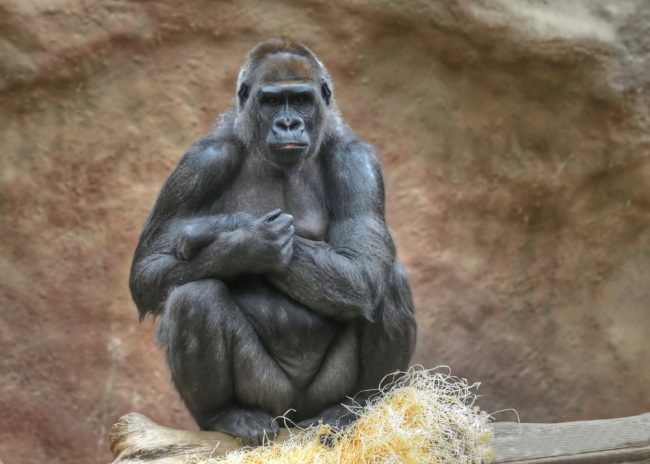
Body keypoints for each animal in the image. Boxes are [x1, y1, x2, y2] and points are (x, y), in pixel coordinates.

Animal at [129, 38, 416, 446]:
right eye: (270, 102)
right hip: (270, 398)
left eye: (300, 99)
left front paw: (232, 233)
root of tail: (293, 419)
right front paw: (248, 242)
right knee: (193, 296)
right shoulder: (201, 160)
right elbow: (148, 270)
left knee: (387, 279)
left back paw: (357, 404)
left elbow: (363, 268)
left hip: (320, 398)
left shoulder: (356, 161)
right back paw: (226, 413)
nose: (288, 124)